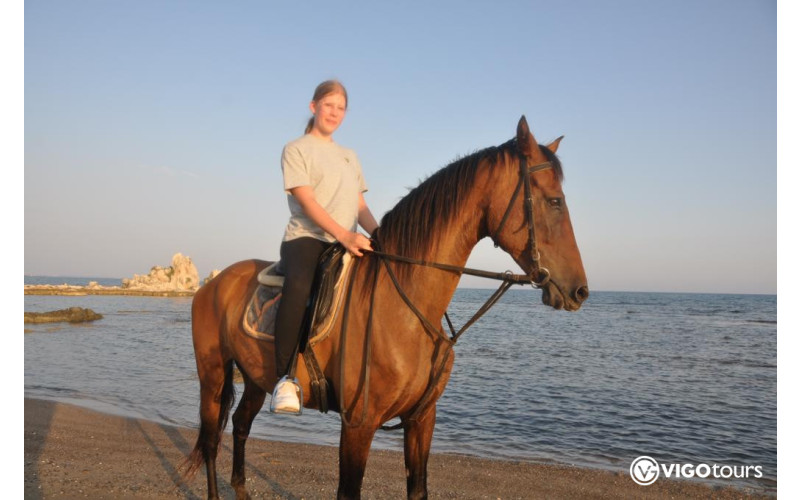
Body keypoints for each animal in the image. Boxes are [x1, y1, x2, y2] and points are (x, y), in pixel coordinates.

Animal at [184, 116, 588, 499]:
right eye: (555, 200)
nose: (580, 291)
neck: (404, 310)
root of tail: (214, 284)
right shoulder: (359, 424)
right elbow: (348, 491)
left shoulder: (421, 419)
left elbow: (418, 489)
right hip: (213, 373)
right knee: (211, 439)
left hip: (255, 377)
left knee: (239, 426)